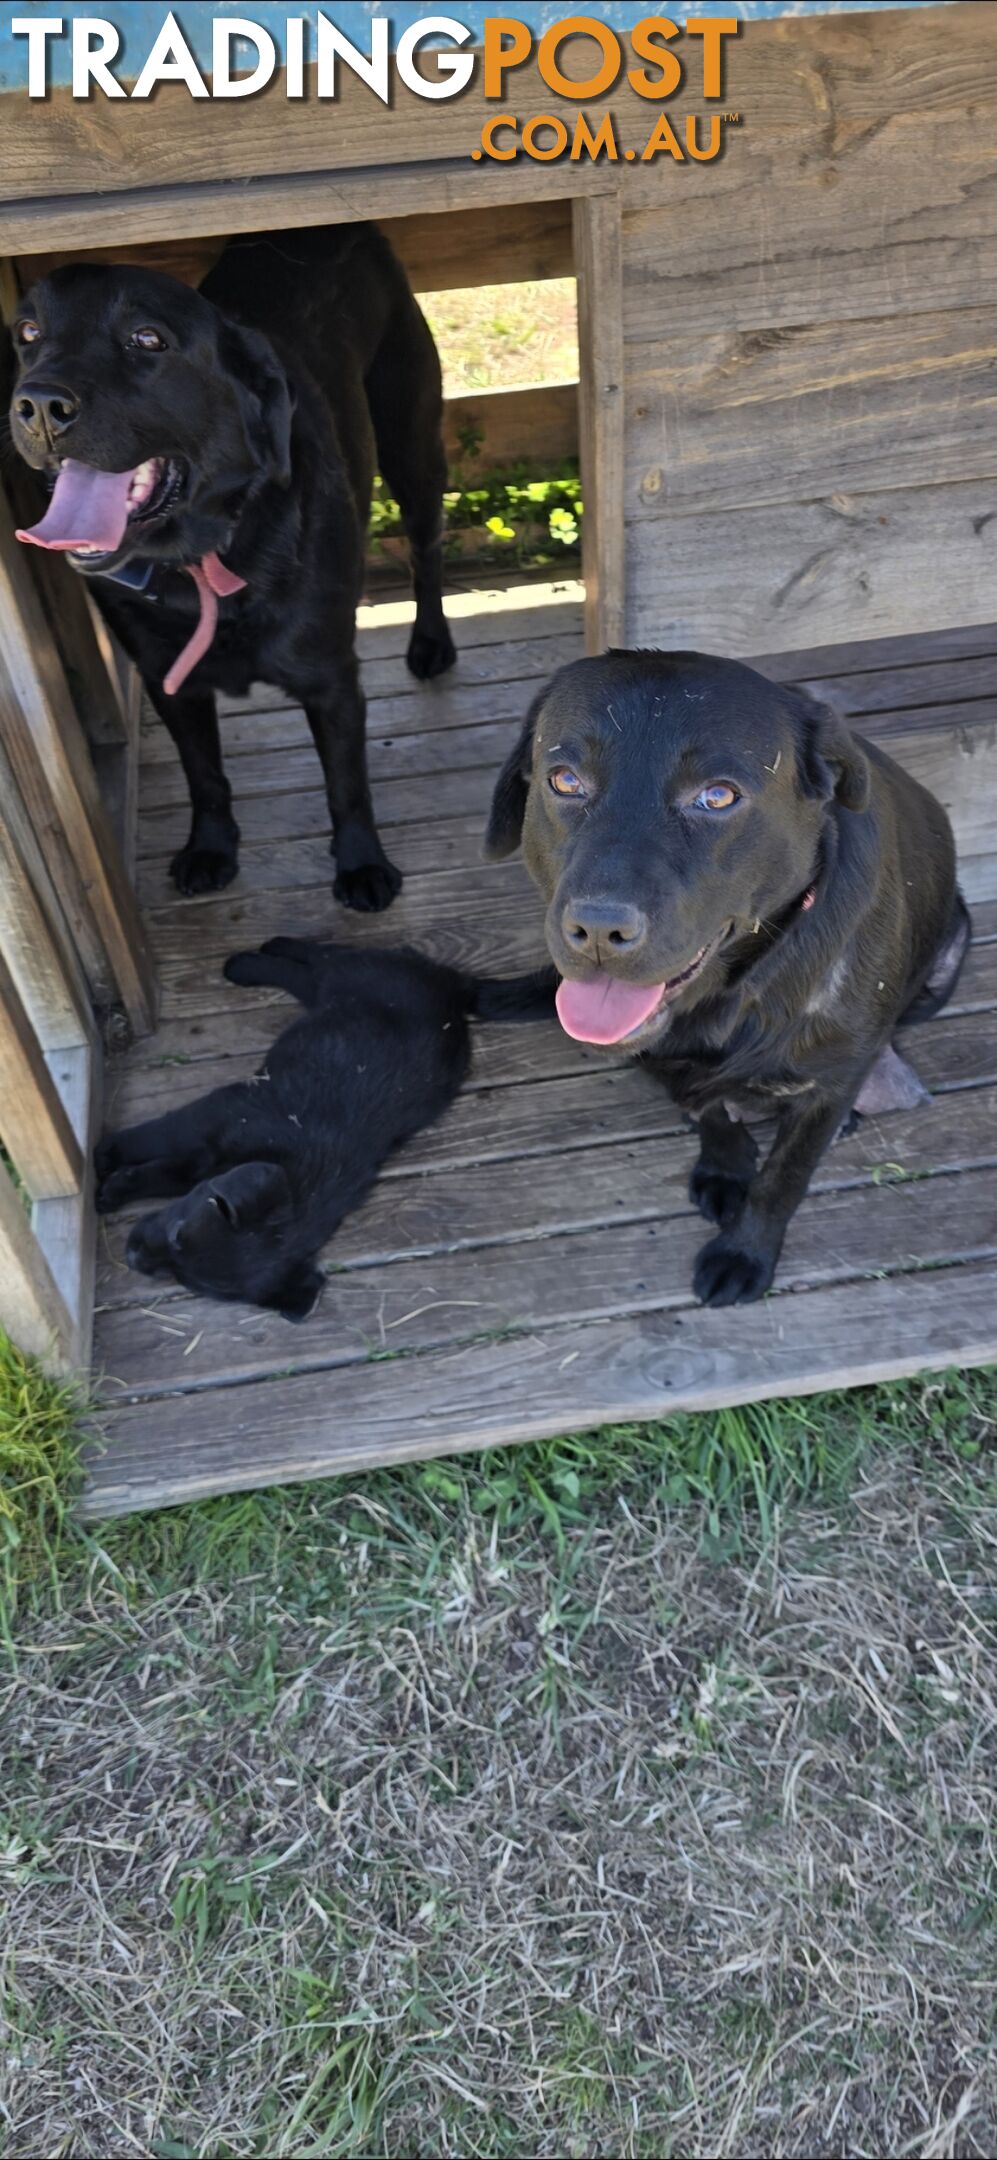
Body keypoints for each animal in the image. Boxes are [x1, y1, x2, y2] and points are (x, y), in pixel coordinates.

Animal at [10, 225, 455, 911]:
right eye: (28, 333)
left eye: (147, 339)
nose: (36, 404)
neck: (204, 560)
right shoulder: (171, 681)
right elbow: (205, 774)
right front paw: (211, 848)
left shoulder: (331, 678)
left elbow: (346, 783)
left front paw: (361, 865)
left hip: (411, 441)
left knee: (426, 548)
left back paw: (431, 643)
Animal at [94, 941, 548, 1313]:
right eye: (176, 1235)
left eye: (185, 1280)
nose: (132, 1256)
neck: (295, 1170)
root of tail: (453, 986)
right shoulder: (209, 1122)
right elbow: (151, 1142)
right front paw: (104, 1158)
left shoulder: (205, 1147)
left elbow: (164, 1169)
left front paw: (113, 1185)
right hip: (351, 976)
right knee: (324, 953)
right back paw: (255, 956)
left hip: (333, 986)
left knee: (311, 966)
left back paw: (255, 959)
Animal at [487, 648, 971, 1304]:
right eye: (564, 780)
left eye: (717, 797)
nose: (598, 929)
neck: (735, 995)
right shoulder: (670, 1061)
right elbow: (710, 1114)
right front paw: (725, 1164)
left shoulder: (830, 1083)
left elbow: (783, 1178)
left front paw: (745, 1252)